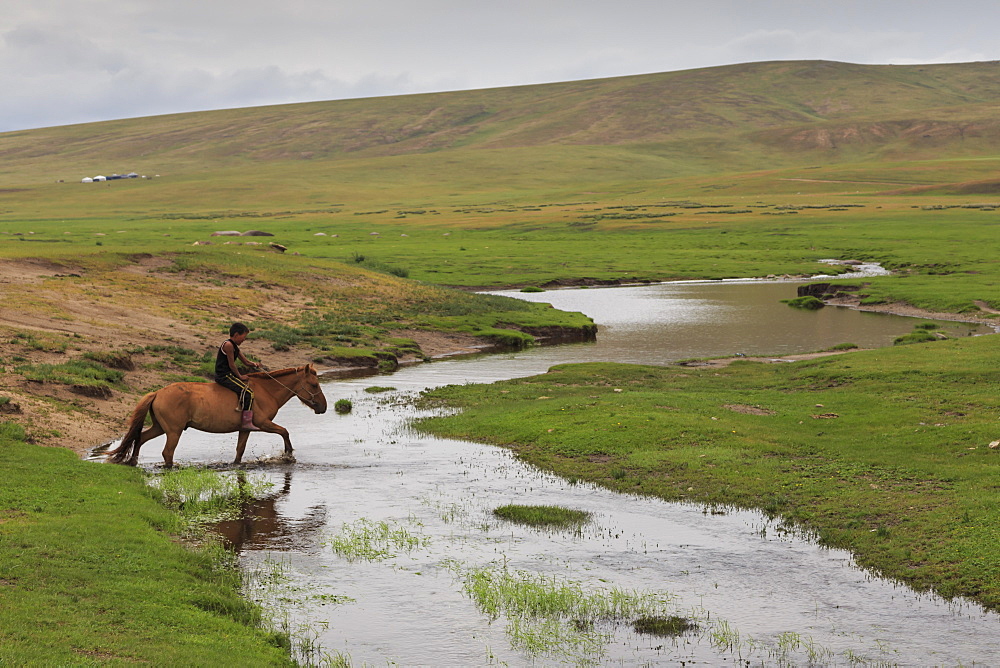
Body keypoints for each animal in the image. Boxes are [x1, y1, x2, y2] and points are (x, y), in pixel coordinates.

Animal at [108, 366, 330, 464]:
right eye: (314, 385)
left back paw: (133, 462)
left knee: (140, 438)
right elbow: (284, 431)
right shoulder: (262, 423)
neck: (266, 390)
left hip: (160, 427)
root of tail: (158, 392)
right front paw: (288, 454)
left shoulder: (245, 429)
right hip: (173, 431)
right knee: (167, 453)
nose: (323, 407)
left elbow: (240, 451)